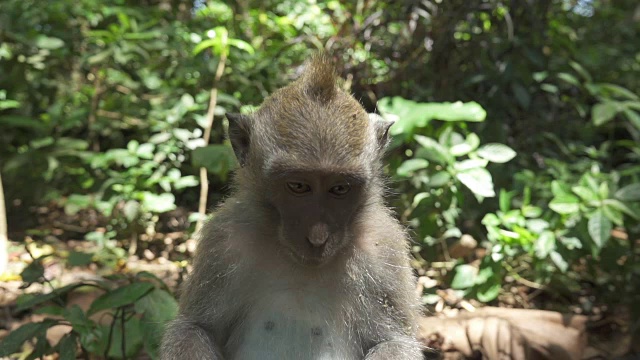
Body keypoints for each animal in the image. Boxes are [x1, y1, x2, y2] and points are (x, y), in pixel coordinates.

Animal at [160, 53, 422, 360]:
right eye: (298, 186)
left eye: (339, 189)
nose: (317, 237)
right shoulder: (223, 241)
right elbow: (194, 328)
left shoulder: (384, 248)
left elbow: (393, 341)